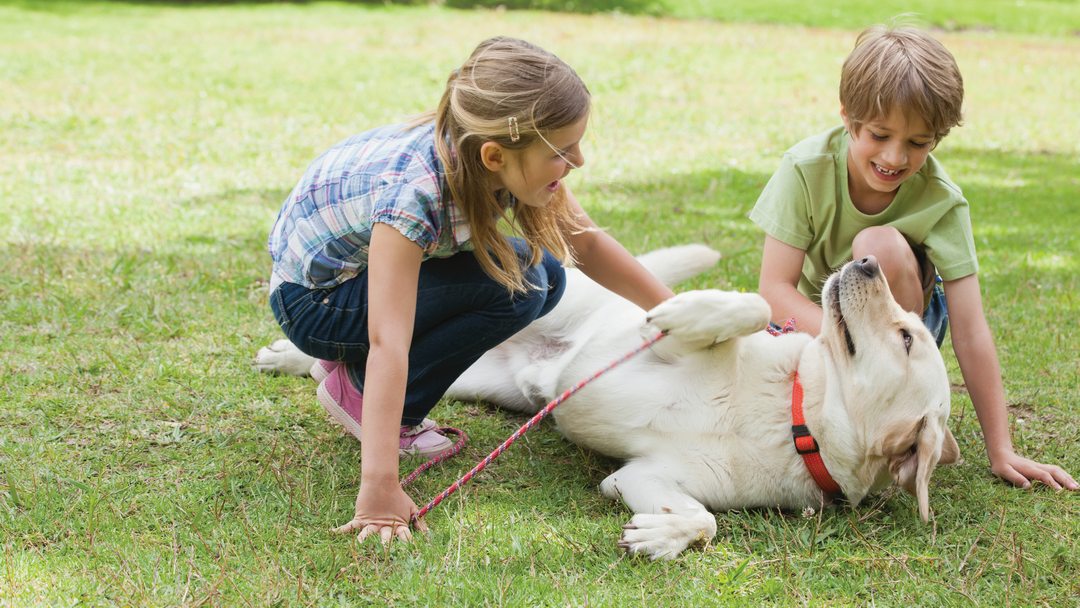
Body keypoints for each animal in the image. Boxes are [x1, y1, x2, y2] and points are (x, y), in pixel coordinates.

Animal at [254, 245, 963, 557]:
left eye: (907, 335)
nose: (867, 261)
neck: (792, 413)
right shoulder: (645, 342)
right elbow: (751, 308)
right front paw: (693, 310)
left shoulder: (641, 477)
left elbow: (704, 519)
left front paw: (660, 536)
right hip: (544, 296)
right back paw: (286, 356)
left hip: (482, 379)